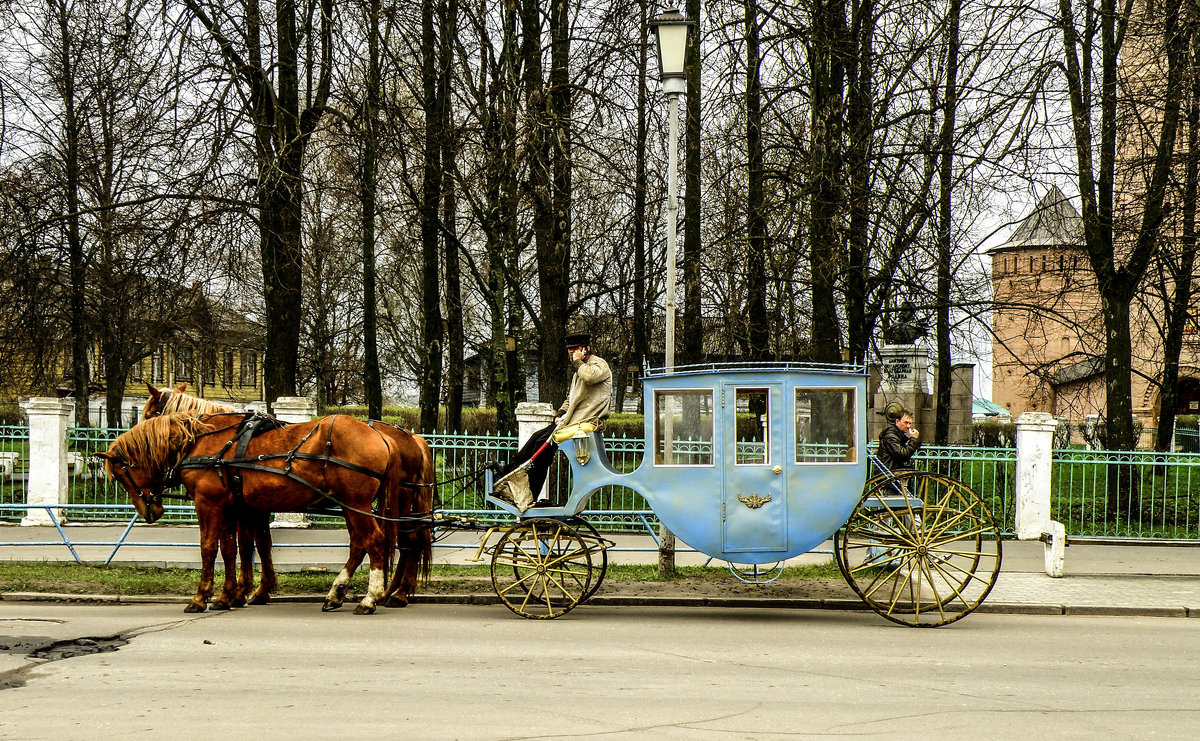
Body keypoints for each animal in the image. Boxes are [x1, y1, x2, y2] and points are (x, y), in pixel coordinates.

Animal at [96, 410, 432, 611]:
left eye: (121, 473)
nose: (150, 509)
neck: (203, 442)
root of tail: (387, 436)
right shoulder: (243, 507)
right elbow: (244, 547)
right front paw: (238, 593)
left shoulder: (210, 504)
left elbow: (211, 549)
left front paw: (204, 596)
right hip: (357, 505)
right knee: (374, 543)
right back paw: (351, 592)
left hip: (360, 504)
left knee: (378, 541)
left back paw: (373, 596)